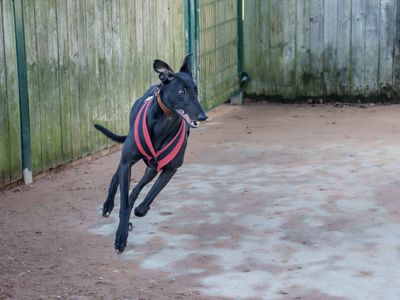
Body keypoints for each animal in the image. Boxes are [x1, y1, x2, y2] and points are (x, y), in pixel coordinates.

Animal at [94, 56, 206, 253]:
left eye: (196, 90)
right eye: (182, 91)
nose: (203, 116)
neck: (164, 122)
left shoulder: (170, 168)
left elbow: (150, 195)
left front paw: (138, 211)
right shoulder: (128, 162)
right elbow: (124, 204)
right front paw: (121, 235)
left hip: (152, 168)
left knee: (138, 188)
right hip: (129, 159)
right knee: (117, 175)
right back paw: (108, 204)